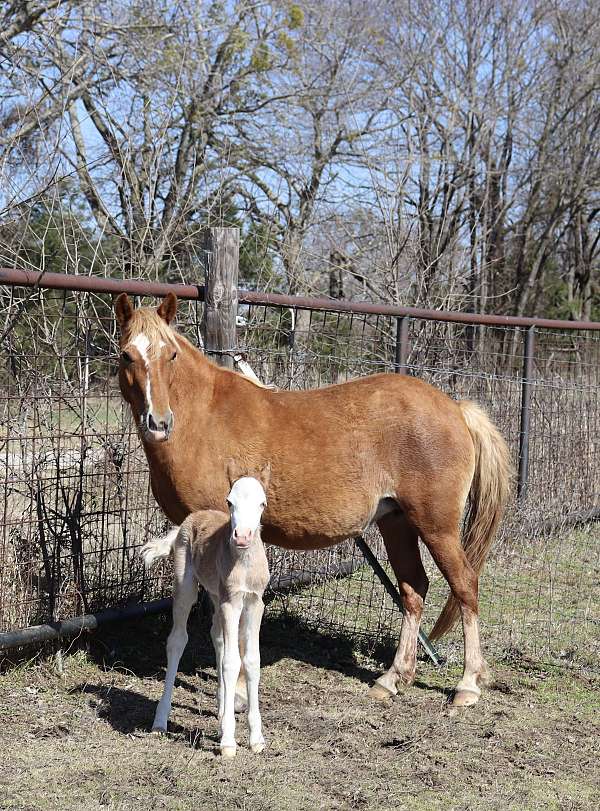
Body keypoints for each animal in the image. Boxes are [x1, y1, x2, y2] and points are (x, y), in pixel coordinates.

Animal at [142, 472, 268, 760]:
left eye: (262, 504)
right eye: (230, 502)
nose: (242, 537)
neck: (244, 562)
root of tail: (189, 519)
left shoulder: (255, 602)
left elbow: (252, 660)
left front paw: (256, 739)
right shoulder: (231, 602)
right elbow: (232, 662)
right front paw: (229, 742)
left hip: (215, 594)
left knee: (217, 637)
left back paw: (221, 710)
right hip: (186, 585)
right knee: (177, 640)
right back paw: (160, 721)